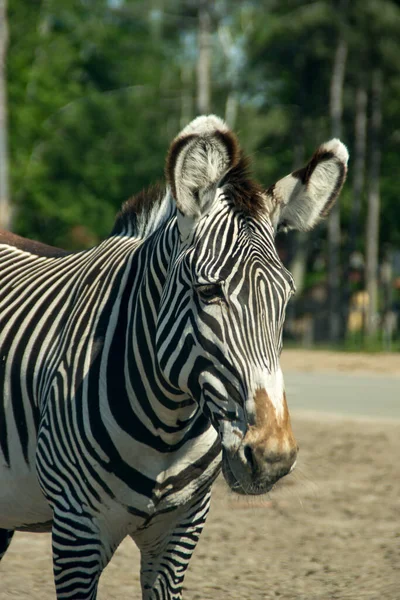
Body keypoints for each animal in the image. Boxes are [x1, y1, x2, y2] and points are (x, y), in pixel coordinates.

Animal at [0, 115, 348, 596]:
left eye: (286, 299)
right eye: (207, 291)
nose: (272, 458)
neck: (166, 426)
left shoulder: (180, 531)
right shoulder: (76, 530)